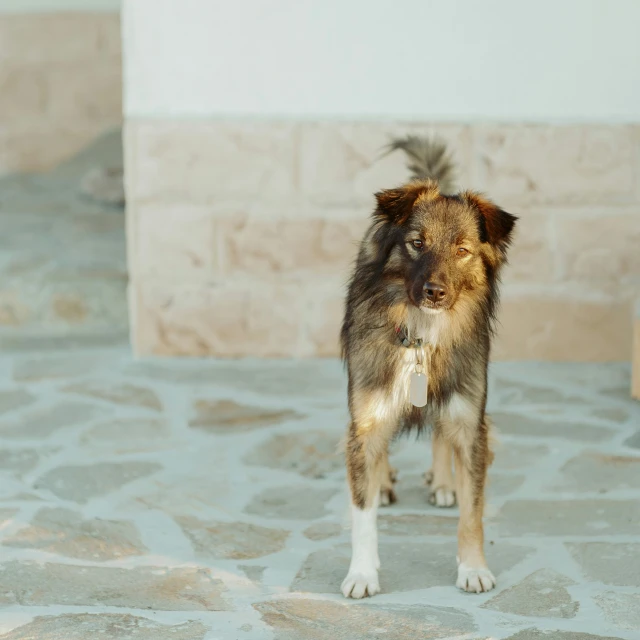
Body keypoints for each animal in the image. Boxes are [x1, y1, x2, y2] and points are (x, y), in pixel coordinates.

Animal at [340, 136, 516, 600]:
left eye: (462, 250)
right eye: (417, 243)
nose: (435, 292)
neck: (421, 336)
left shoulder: (471, 421)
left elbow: (473, 512)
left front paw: (473, 568)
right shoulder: (366, 418)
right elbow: (362, 513)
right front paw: (362, 573)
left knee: (440, 434)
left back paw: (442, 483)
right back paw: (384, 481)